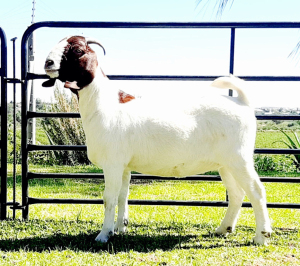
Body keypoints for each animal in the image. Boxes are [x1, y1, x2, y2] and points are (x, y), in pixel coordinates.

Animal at [42, 35, 272, 245]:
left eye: (78, 50)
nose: (48, 63)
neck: (104, 104)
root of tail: (242, 102)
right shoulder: (124, 166)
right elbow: (122, 196)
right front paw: (120, 228)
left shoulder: (112, 163)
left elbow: (109, 198)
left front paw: (103, 235)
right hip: (226, 164)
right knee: (237, 194)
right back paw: (224, 229)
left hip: (239, 158)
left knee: (257, 191)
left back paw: (261, 236)